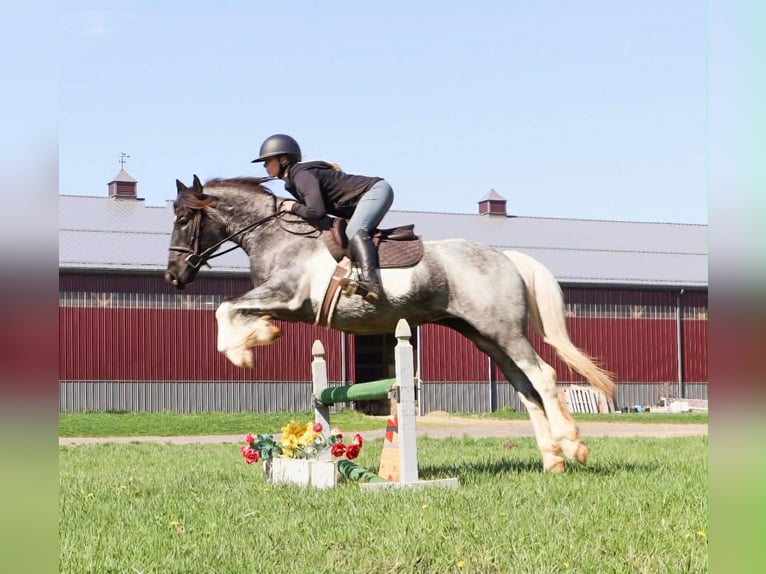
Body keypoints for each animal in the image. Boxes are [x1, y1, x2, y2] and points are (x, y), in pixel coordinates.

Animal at [165, 175, 614, 472]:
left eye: (185, 219)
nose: (173, 276)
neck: (277, 236)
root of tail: (506, 257)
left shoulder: (288, 296)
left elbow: (224, 309)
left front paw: (244, 352)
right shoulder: (284, 303)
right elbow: (232, 310)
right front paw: (260, 335)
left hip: (505, 332)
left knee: (542, 376)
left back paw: (573, 446)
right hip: (485, 336)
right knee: (524, 387)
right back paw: (552, 460)